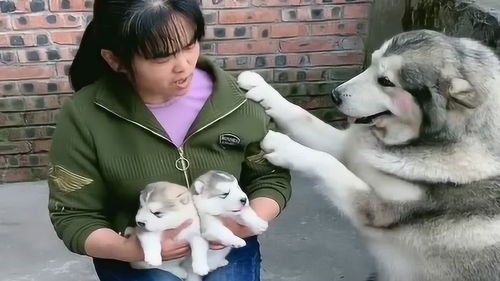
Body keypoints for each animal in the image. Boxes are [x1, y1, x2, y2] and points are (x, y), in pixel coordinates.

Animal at [236, 29, 500, 280]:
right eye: (371, 62)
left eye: (385, 81)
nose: (335, 95)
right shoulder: (349, 148)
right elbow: (302, 116)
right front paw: (262, 89)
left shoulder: (375, 208)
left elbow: (327, 162)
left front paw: (285, 146)